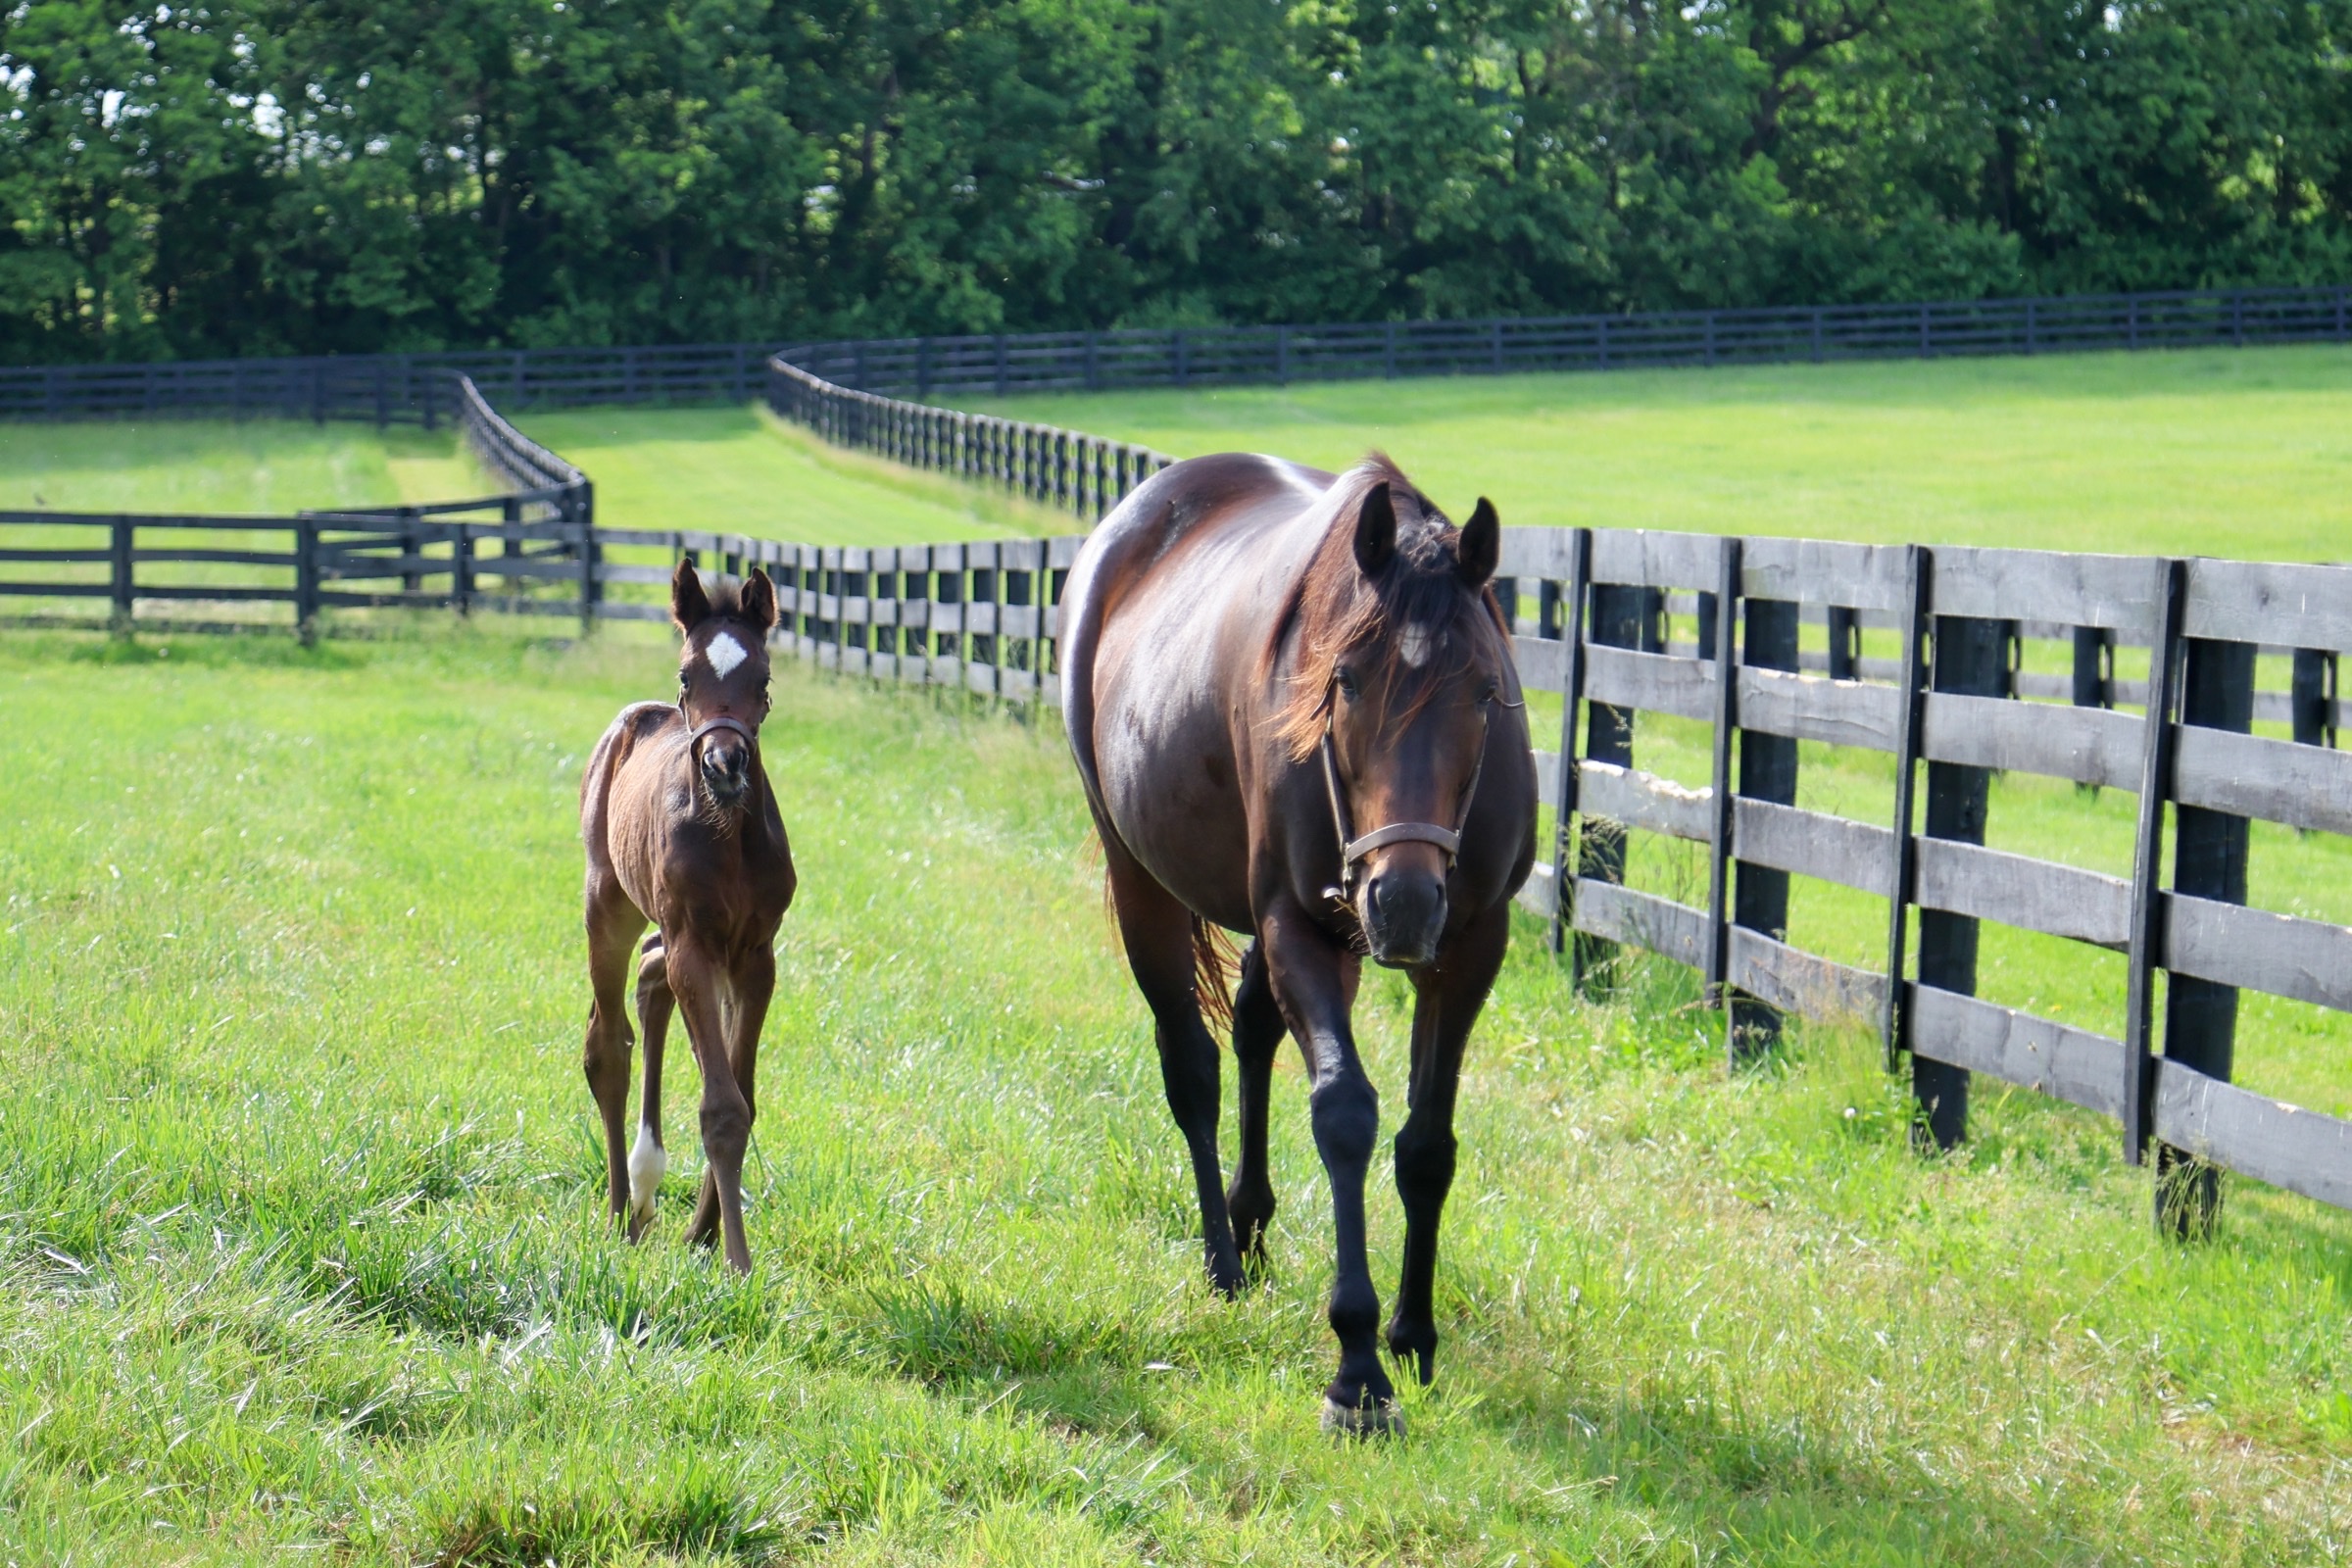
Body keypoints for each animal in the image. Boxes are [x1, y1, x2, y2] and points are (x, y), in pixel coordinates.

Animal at [578, 560, 797, 1273]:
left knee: (651, 979)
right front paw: (737, 1261)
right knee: (607, 1045)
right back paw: (622, 1213)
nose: (724, 765)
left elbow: (742, 1093)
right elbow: (722, 1106)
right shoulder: (695, 945)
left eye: (763, 681)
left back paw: (646, 1195)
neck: (727, 834)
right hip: (608, 903)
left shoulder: (756, 955)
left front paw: (703, 1233)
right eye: (685, 677)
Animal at [1060, 452, 1535, 1432]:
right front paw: (1357, 1371)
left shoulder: (1470, 947)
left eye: (1483, 692)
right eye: (1345, 680)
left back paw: (1249, 1223)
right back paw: (1221, 1259)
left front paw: (1414, 1338)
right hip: (1142, 882)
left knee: (1250, 1032)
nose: (1402, 900)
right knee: (1192, 1069)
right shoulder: (1299, 927)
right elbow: (1343, 1114)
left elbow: (1428, 1143)